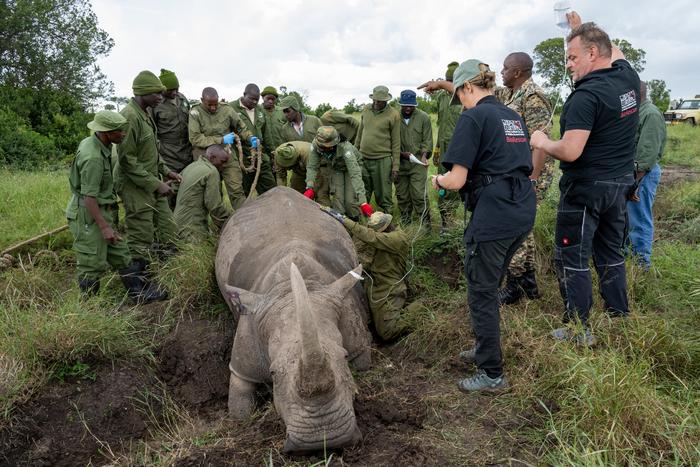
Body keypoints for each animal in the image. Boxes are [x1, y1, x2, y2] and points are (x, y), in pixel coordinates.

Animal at [216, 186, 374, 454]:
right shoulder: (248, 338)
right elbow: (239, 405)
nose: (324, 441)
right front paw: (242, 418)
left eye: (344, 357)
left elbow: (363, 363)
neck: (290, 292)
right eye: (273, 372)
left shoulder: (351, 323)